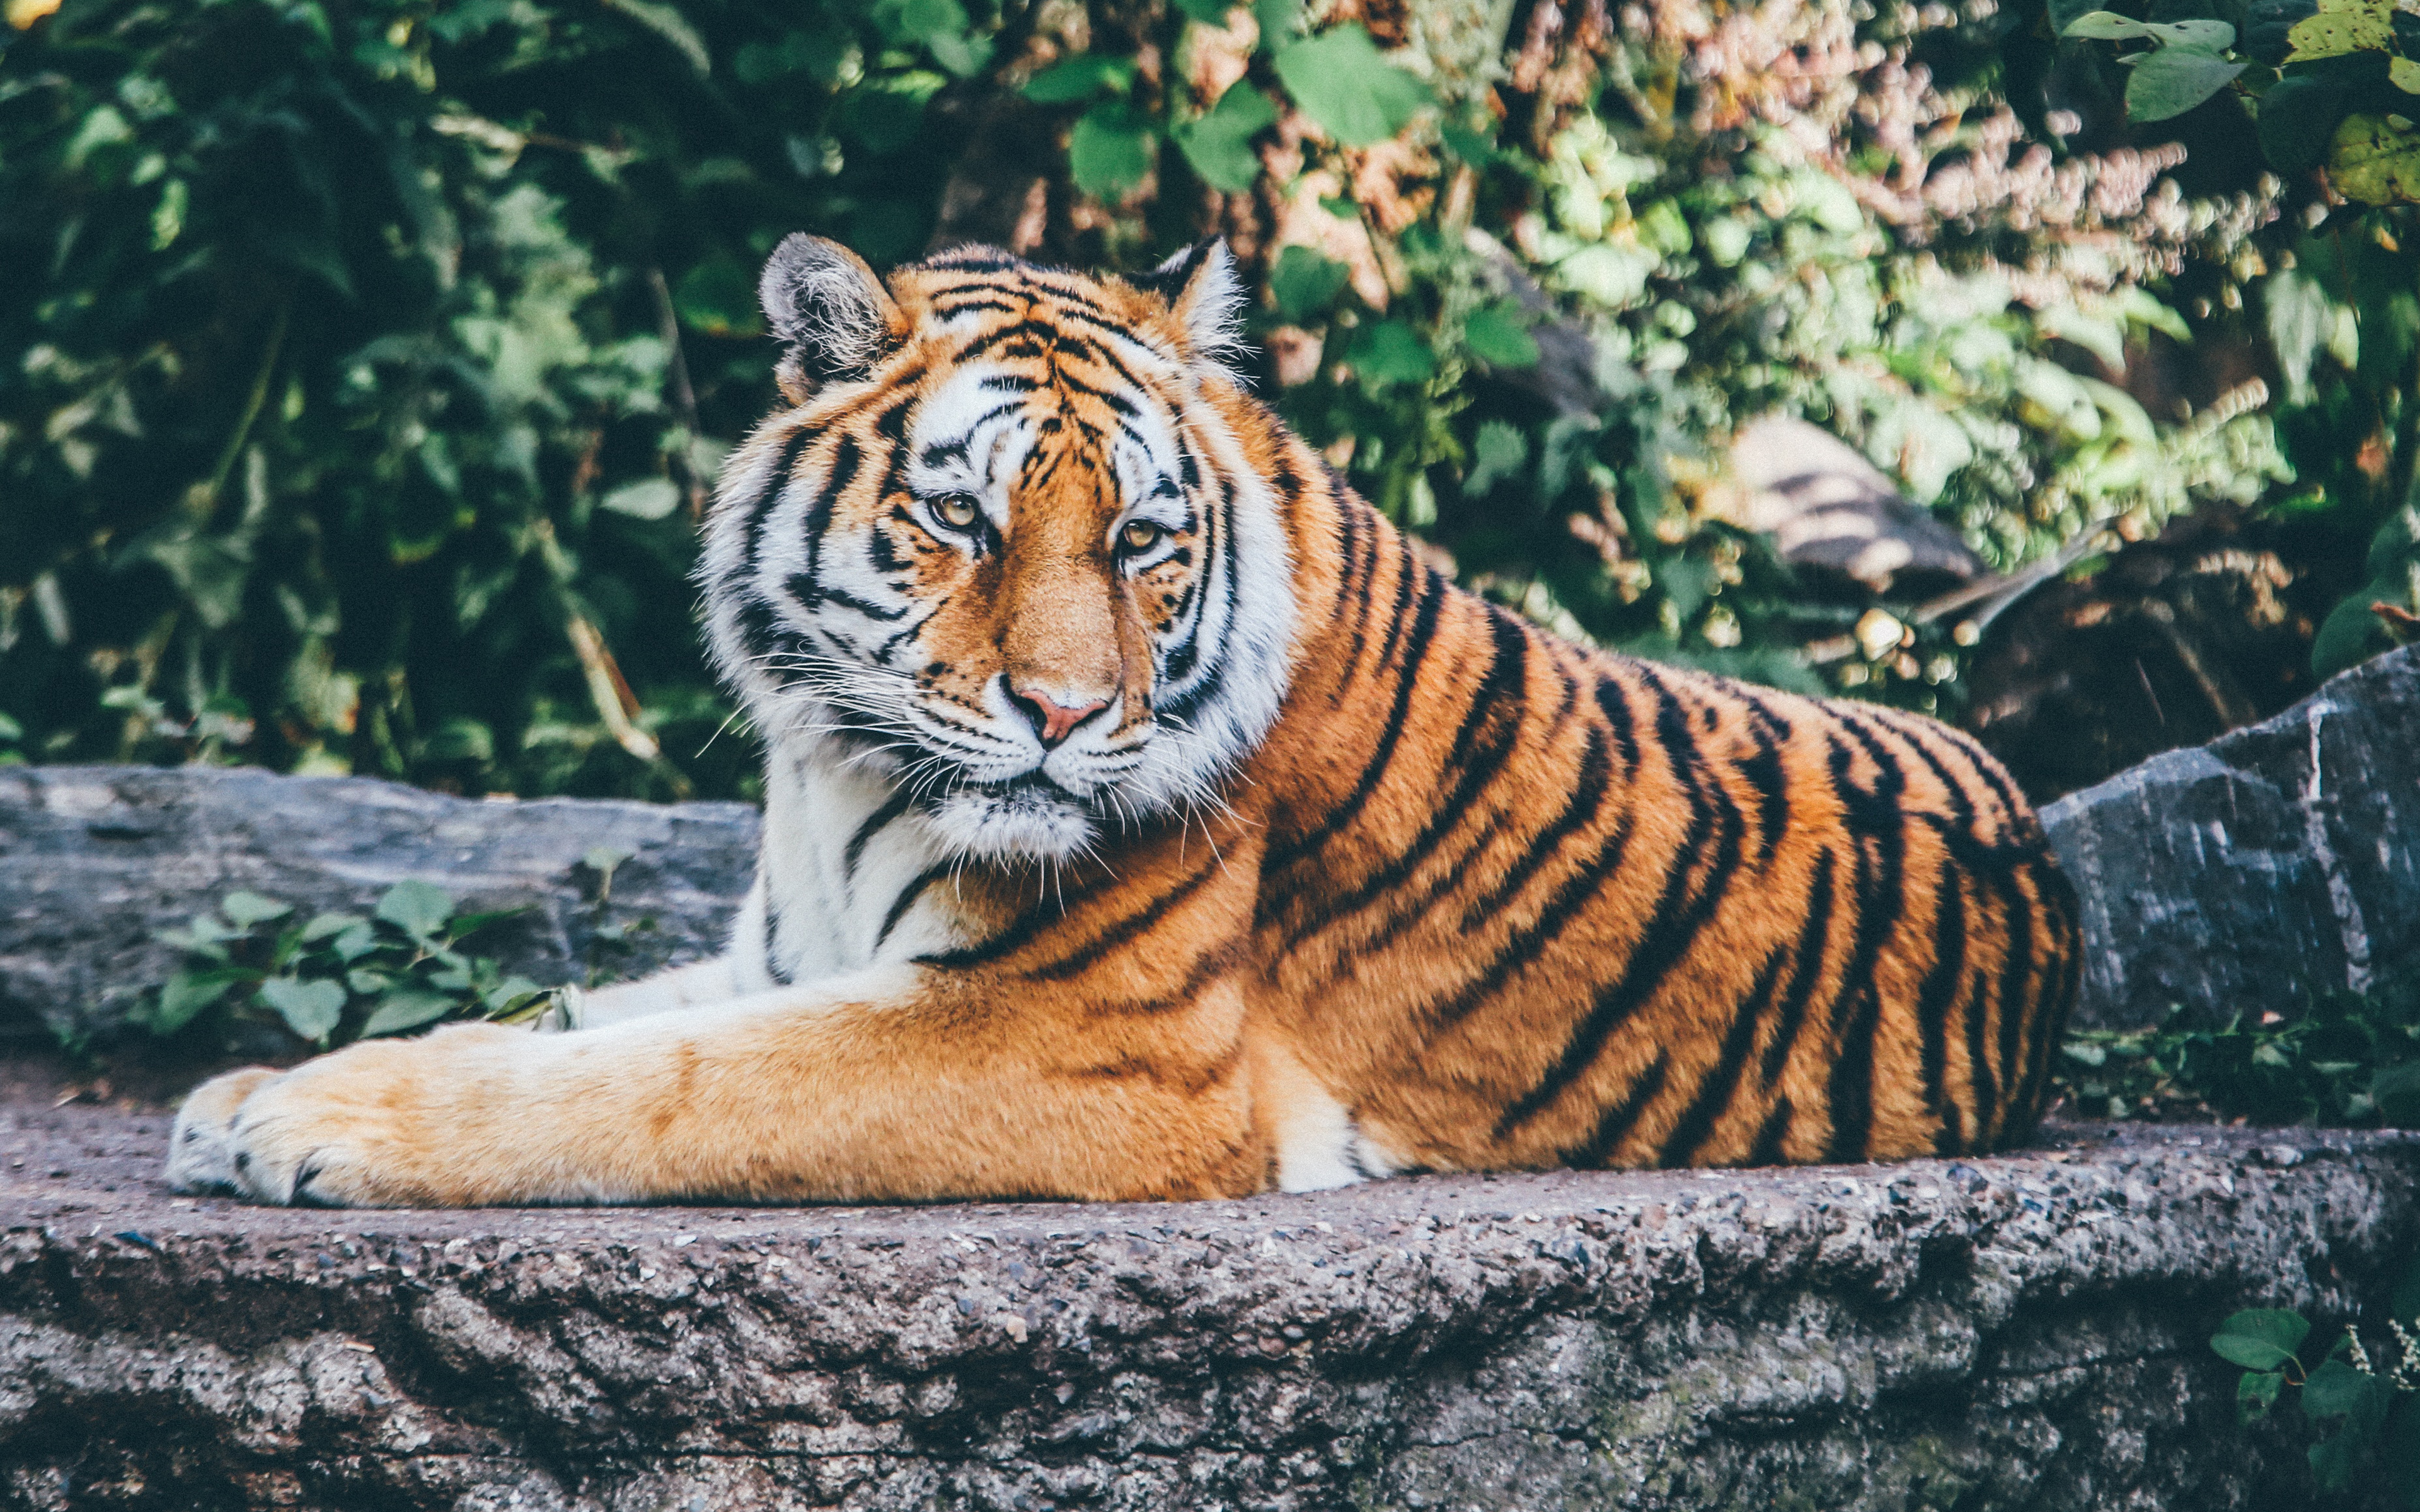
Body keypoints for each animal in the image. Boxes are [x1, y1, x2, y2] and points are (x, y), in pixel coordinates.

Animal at [165, 235, 2080, 1208]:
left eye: (1144, 540)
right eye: (963, 519)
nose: (1067, 713)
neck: (831, 767)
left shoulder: (1079, 1042)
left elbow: (660, 1083)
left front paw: (309, 1125)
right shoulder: (788, 952)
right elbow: (580, 1018)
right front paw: (250, 1090)